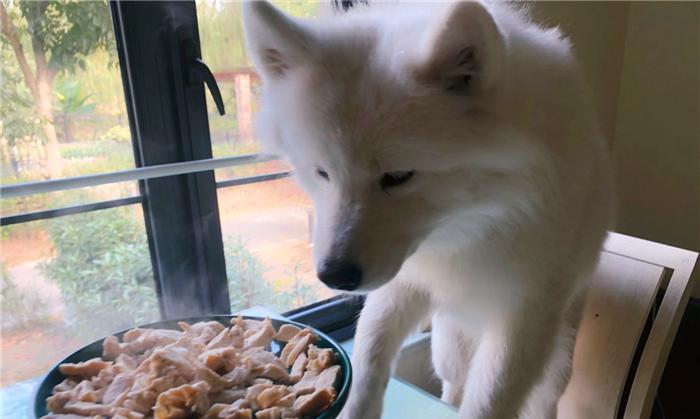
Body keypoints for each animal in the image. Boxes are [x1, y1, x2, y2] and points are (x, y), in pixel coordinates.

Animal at [243, 1, 616, 418]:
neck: (470, 224)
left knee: (539, 398)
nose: (335, 276)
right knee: (453, 383)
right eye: (322, 172)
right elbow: (371, 354)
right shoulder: (403, 282)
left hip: (556, 359)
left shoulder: (522, 314)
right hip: (447, 343)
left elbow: (489, 399)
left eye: (398, 176)